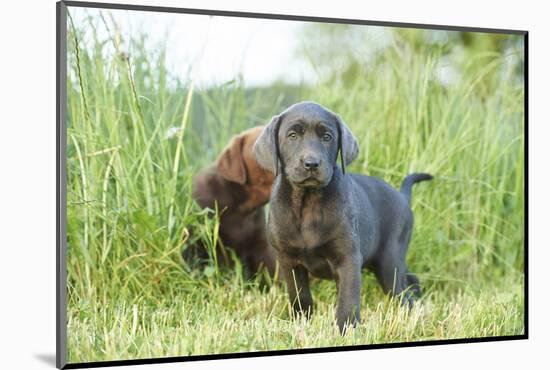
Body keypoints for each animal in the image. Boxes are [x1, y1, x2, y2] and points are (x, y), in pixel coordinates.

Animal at [254, 102, 436, 336]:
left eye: (327, 137)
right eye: (292, 135)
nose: (311, 163)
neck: (308, 203)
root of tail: (402, 196)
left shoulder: (348, 258)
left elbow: (347, 301)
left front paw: (346, 331)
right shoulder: (288, 260)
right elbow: (299, 296)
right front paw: (302, 323)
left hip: (389, 260)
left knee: (404, 294)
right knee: (411, 281)